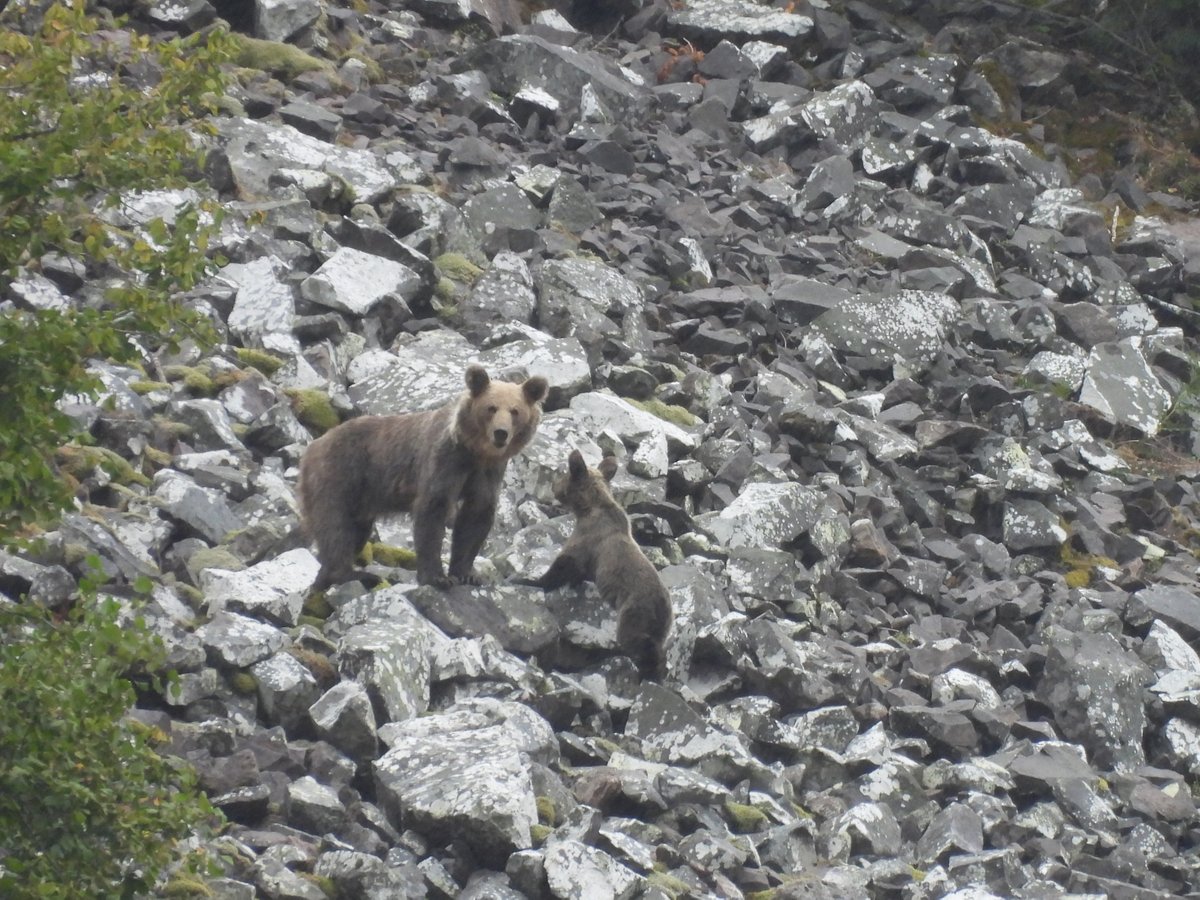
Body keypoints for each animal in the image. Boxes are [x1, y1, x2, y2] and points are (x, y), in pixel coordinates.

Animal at [298, 364, 548, 591]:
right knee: (335, 525)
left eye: (515, 411)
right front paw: (437, 577)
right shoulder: (445, 461)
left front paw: (467, 574)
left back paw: (323, 582)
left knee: (355, 532)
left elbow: (475, 516)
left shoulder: (488, 473)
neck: (474, 452)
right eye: (491, 408)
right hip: (338, 474)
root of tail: (312, 447)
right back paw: (354, 575)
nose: (501, 433)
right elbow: (433, 512)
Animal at [519, 449, 673, 679]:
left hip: (635, 612)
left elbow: (565, 564)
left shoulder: (587, 539)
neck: (587, 508)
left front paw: (529, 580)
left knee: (637, 642)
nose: (554, 486)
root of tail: (665, 608)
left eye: (564, 474)